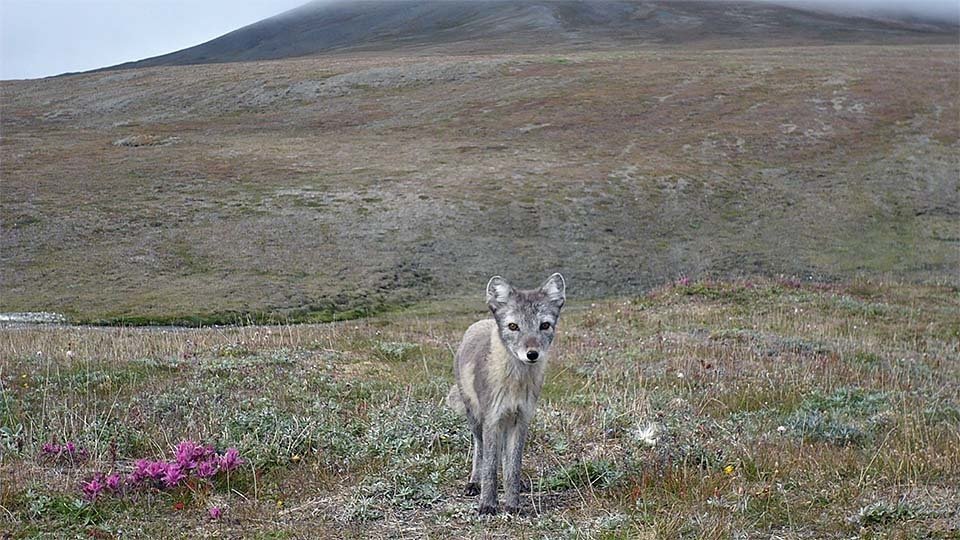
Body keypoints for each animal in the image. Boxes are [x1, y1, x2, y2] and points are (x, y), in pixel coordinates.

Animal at [446, 274, 568, 516]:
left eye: (544, 325)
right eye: (513, 326)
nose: (532, 354)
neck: (515, 383)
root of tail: (480, 323)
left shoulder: (521, 419)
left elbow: (513, 466)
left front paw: (513, 504)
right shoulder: (492, 419)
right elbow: (490, 467)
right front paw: (487, 504)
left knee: (503, 454)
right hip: (476, 419)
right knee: (480, 450)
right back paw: (474, 483)